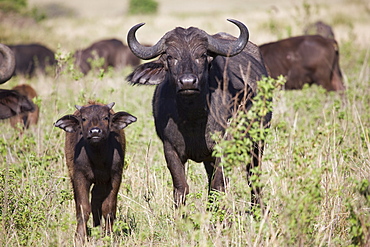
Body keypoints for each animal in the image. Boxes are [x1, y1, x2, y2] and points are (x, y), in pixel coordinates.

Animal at [54, 101, 137, 242]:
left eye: (106, 117)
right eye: (84, 118)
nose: (95, 131)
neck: (98, 159)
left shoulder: (115, 176)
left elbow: (108, 208)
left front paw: (108, 235)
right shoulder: (79, 177)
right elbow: (83, 207)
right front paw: (80, 236)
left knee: (96, 199)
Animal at [129, 19, 270, 208]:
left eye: (202, 55)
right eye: (170, 57)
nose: (188, 82)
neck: (192, 119)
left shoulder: (223, 148)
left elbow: (218, 186)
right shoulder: (170, 149)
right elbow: (181, 188)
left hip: (257, 142)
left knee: (253, 178)